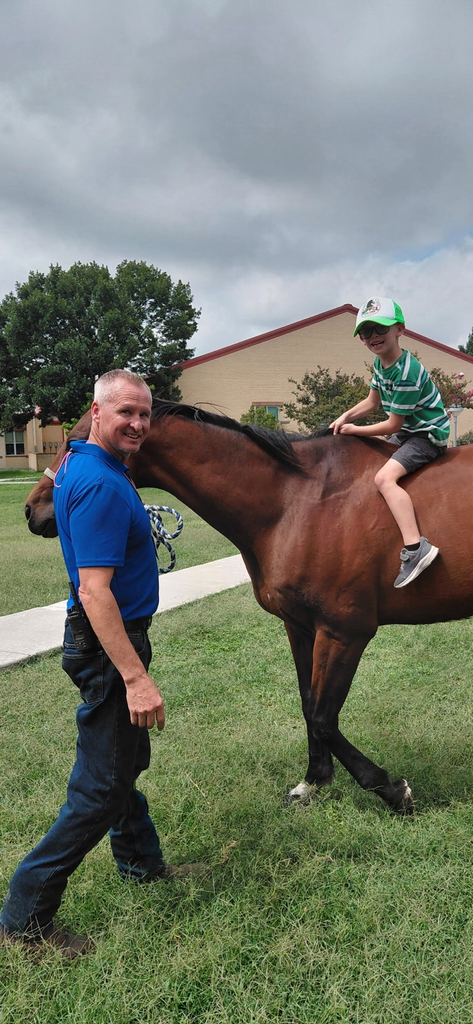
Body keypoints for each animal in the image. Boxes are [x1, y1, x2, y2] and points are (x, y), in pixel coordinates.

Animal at [24, 400, 473, 813]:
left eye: (73, 443)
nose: (32, 509)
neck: (298, 501)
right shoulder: (301, 626)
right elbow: (309, 706)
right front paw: (314, 781)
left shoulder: (345, 632)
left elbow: (324, 718)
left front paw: (390, 789)